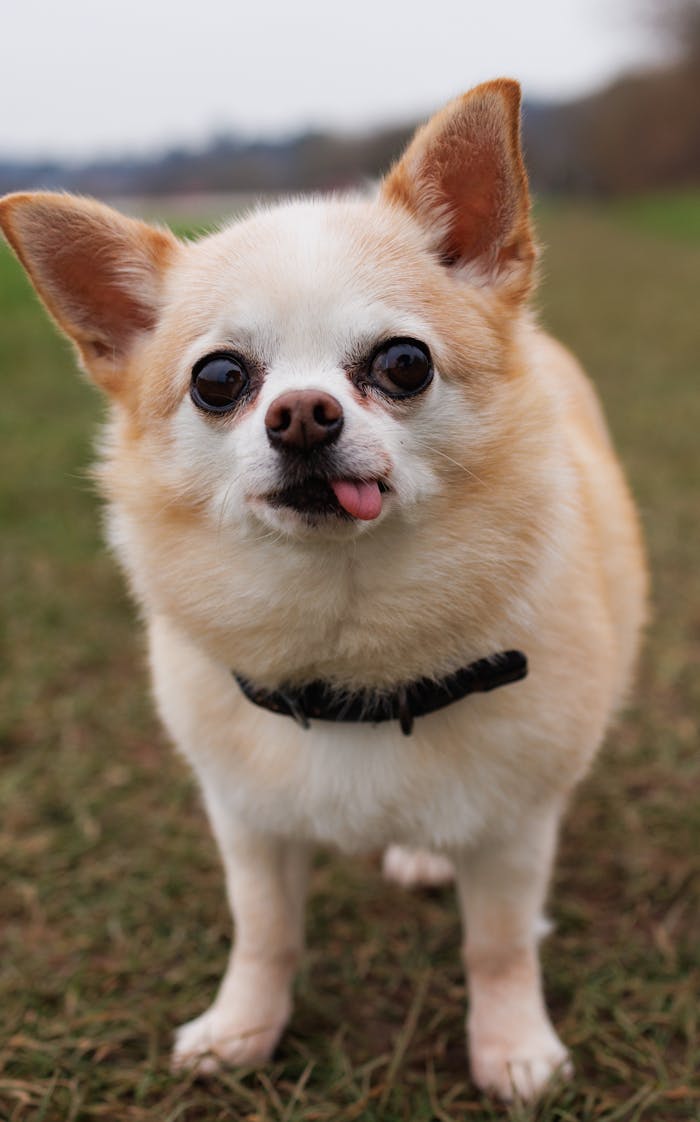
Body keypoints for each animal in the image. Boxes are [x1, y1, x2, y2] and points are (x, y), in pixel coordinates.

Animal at [0, 83, 646, 1099]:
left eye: (404, 364)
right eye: (219, 380)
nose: (302, 414)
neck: (352, 652)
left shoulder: (515, 828)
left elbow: (499, 946)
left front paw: (512, 1047)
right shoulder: (248, 823)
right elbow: (264, 934)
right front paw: (243, 1028)